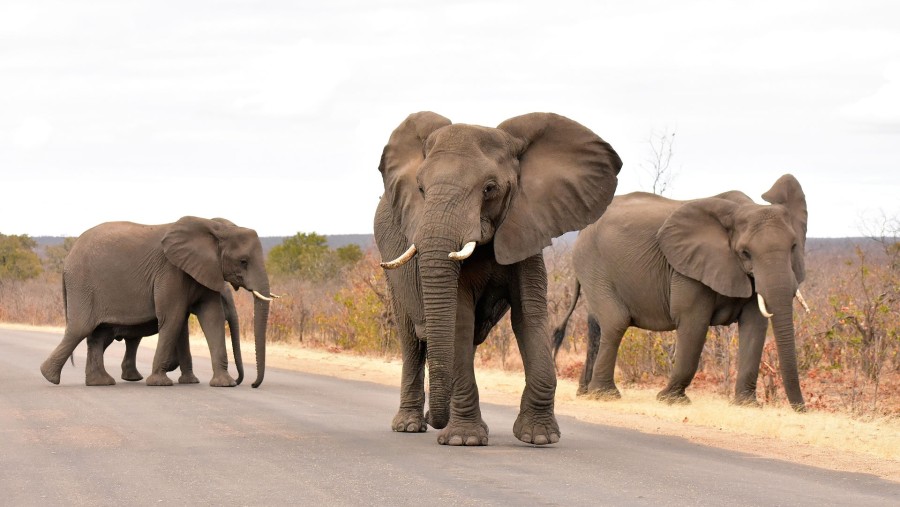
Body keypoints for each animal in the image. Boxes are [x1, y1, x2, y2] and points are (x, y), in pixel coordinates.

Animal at [41, 216, 274, 386]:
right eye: (243, 261)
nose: (250, 383)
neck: (213, 225)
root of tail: (67, 259)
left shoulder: (203, 270)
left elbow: (211, 318)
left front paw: (220, 384)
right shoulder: (170, 272)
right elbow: (173, 318)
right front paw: (160, 383)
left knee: (98, 336)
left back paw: (101, 382)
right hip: (83, 285)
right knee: (80, 328)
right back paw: (49, 377)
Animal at [552, 175, 812, 412]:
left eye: (794, 247)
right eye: (745, 252)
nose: (802, 409)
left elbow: (755, 325)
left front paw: (747, 405)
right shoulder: (686, 270)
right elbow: (693, 323)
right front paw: (670, 400)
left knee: (596, 324)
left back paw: (586, 393)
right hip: (592, 264)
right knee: (616, 321)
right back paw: (605, 395)